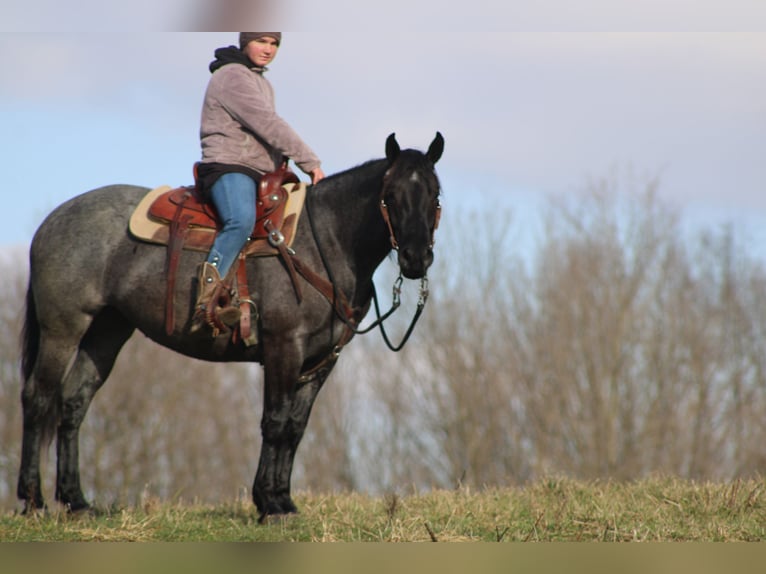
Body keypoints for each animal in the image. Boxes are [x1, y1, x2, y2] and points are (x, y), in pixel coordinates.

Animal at [18, 132, 444, 521]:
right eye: (390, 194)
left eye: (435, 193)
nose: (416, 258)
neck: (325, 242)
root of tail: (51, 222)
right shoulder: (283, 348)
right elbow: (274, 422)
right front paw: (269, 504)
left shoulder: (321, 360)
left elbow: (295, 427)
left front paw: (284, 500)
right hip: (62, 329)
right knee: (38, 399)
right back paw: (33, 501)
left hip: (107, 331)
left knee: (73, 402)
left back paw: (76, 501)